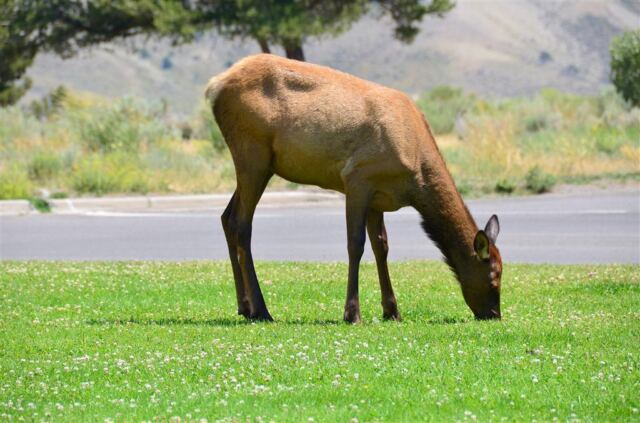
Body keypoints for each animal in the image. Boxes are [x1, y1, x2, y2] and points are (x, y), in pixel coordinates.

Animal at [206, 54, 502, 323]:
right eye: (494, 277)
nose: (494, 315)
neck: (416, 175)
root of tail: (214, 86)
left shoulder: (378, 196)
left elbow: (381, 246)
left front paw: (392, 310)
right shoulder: (358, 178)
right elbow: (355, 244)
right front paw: (352, 313)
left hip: (257, 165)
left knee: (226, 217)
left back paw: (244, 306)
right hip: (253, 154)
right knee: (241, 224)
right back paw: (262, 310)